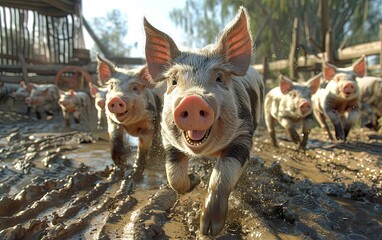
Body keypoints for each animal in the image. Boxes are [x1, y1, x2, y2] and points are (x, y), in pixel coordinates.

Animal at [142, 6, 264, 235]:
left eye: (219, 78)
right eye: (174, 81)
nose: (192, 99)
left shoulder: (244, 133)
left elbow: (222, 176)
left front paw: (209, 229)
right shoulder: (167, 137)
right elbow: (173, 175)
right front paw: (195, 180)